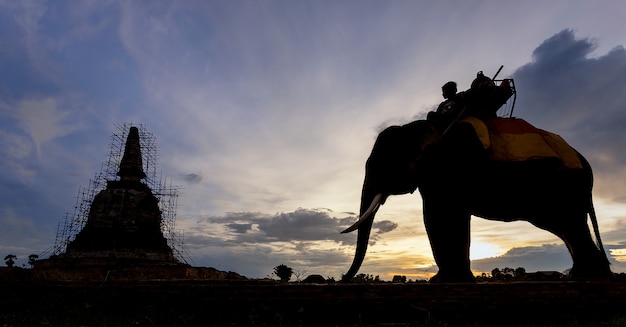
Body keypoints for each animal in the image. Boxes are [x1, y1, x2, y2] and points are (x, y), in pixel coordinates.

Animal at [342, 119, 608, 284]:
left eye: (385, 162)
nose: (344, 278)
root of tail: (586, 162)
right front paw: (446, 280)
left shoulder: (453, 169)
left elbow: (441, 216)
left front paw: (446, 280)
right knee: (567, 227)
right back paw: (587, 275)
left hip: (563, 185)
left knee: (569, 224)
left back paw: (587, 277)